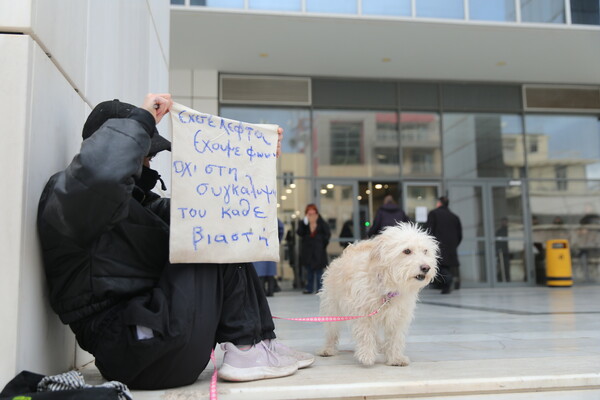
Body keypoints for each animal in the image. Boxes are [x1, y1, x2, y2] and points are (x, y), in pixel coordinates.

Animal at [318, 223, 436, 368]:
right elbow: (366, 334)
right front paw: (367, 355)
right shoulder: (363, 314)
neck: (388, 287)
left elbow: (395, 338)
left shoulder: (398, 316)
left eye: (425, 251)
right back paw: (328, 349)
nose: (426, 268)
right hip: (331, 308)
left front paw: (395, 358)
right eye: (407, 251)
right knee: (331, 331)